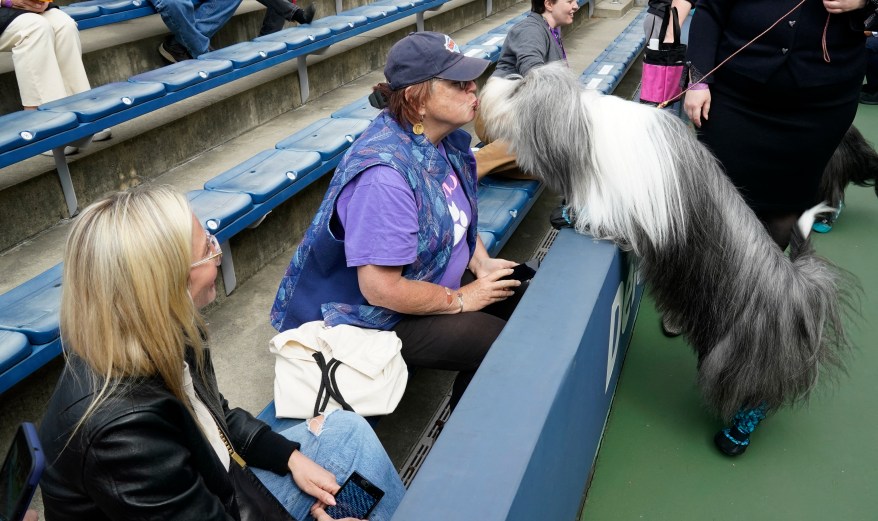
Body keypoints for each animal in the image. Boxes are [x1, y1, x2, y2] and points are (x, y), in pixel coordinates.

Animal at [478, 63, 856, 456]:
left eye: (518, 89)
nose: (487, 88)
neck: (584, 130)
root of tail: (799, 289)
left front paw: (570, 215)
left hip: (740, 357)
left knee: (752, 393)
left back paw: (736, 433)